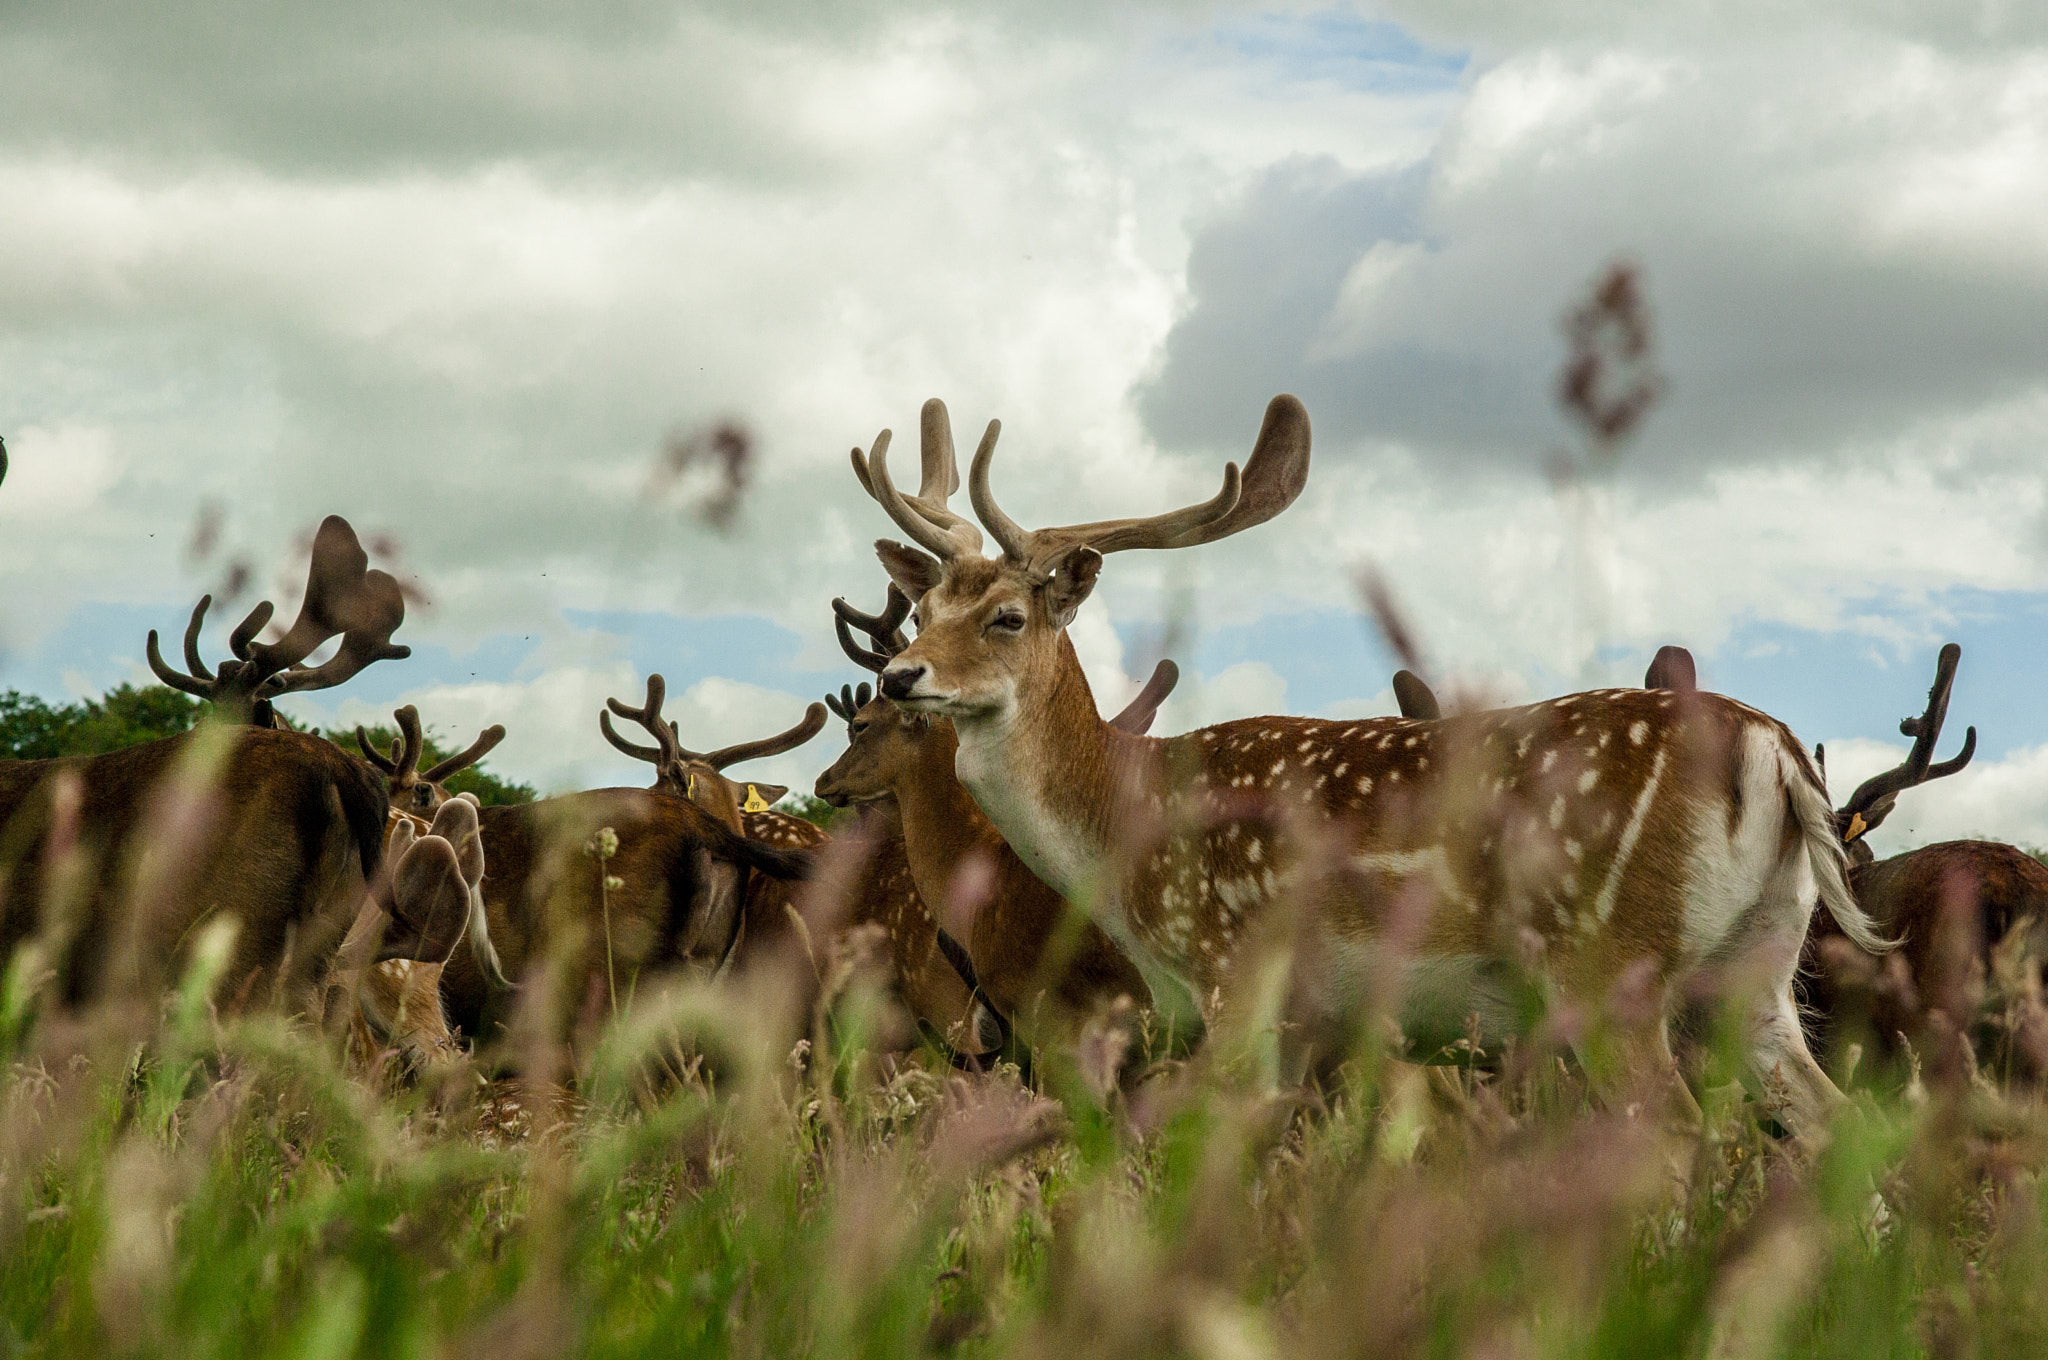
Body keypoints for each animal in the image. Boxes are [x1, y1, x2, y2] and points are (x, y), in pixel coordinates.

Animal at [847, 395, 1884, 1146]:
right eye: (923, 610)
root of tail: (1771, 748)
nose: (898, 677)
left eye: (1007, 618)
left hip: (1606, 960)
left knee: (1674, 1134)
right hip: (1757, 969)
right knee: (1840, 1127)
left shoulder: (1233, 964)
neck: (1124, 830)